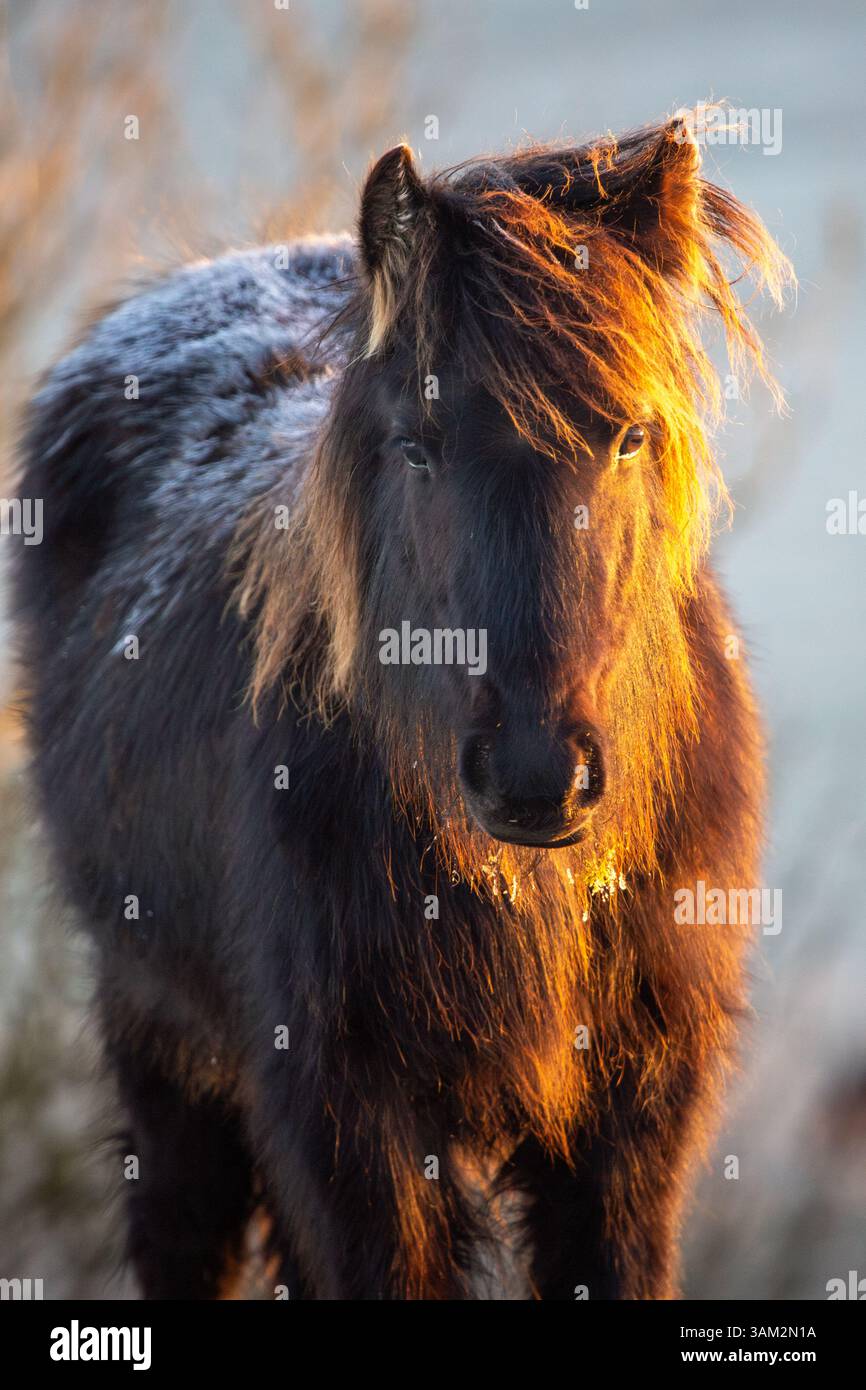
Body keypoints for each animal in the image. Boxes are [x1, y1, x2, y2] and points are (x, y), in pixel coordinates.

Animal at [13, 113, 791, 1299]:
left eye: (629, 436)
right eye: (417, 447)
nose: (534, 774)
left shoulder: (630, 1131)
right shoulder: (347, 1130)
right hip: (159, 1033)